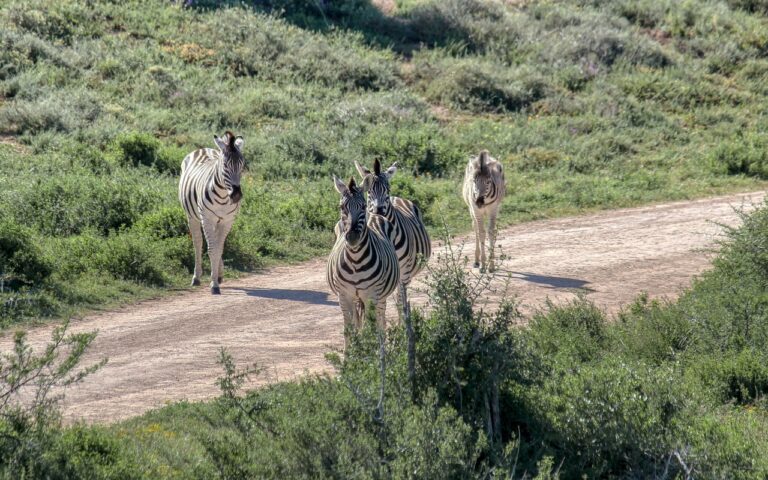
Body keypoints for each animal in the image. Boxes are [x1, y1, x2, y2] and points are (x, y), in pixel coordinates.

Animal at [178, 132, 244, 296]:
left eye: (242, 165)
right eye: (225, 165)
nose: (236, 196)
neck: (223, 195)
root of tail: (203, 149)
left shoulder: (227, 220)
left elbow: (219, 249)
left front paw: (216, 278)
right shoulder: (207, 219)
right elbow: (212, 249)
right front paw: (214, 285)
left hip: (216, 221)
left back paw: (218, 274)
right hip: (193, 217)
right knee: (198, 243)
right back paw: (196, 277)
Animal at [326, 174, 400, 344]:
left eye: (363, 206)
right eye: (342, 207)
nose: (352, 237)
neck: (355, 260)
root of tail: (374, 214)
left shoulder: (372, 295)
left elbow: (371, 329)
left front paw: (369, 349)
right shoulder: (344, 296)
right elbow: (349, 330)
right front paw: (352, 351)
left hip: (380, 297)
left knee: (380, 323)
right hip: (357, 298)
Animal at [356, 158, 432, 318]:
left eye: (387, 189)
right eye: (369, 191)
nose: (378, 210)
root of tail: (397, 198)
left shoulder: (403, 273)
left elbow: (400, 302)